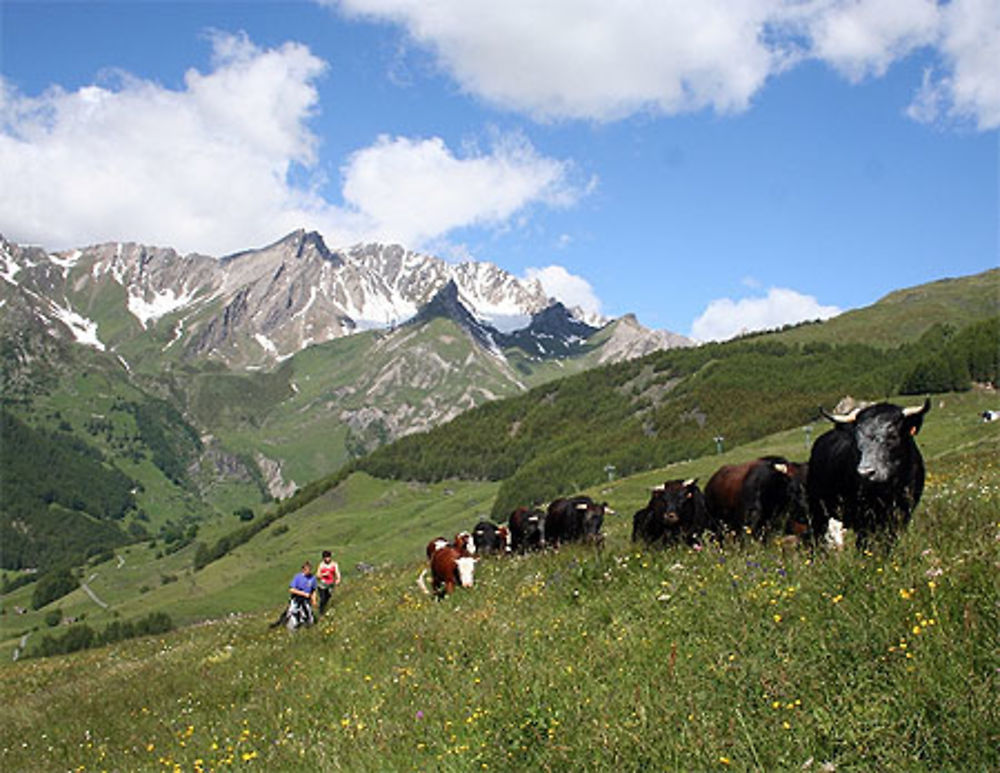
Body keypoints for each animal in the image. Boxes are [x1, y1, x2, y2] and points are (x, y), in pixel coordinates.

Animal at [804, 398, 928, 548]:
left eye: (892, 436)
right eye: (857, 439)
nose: (865, 473)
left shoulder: (902, 514)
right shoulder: (862, 519)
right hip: (817, 509)